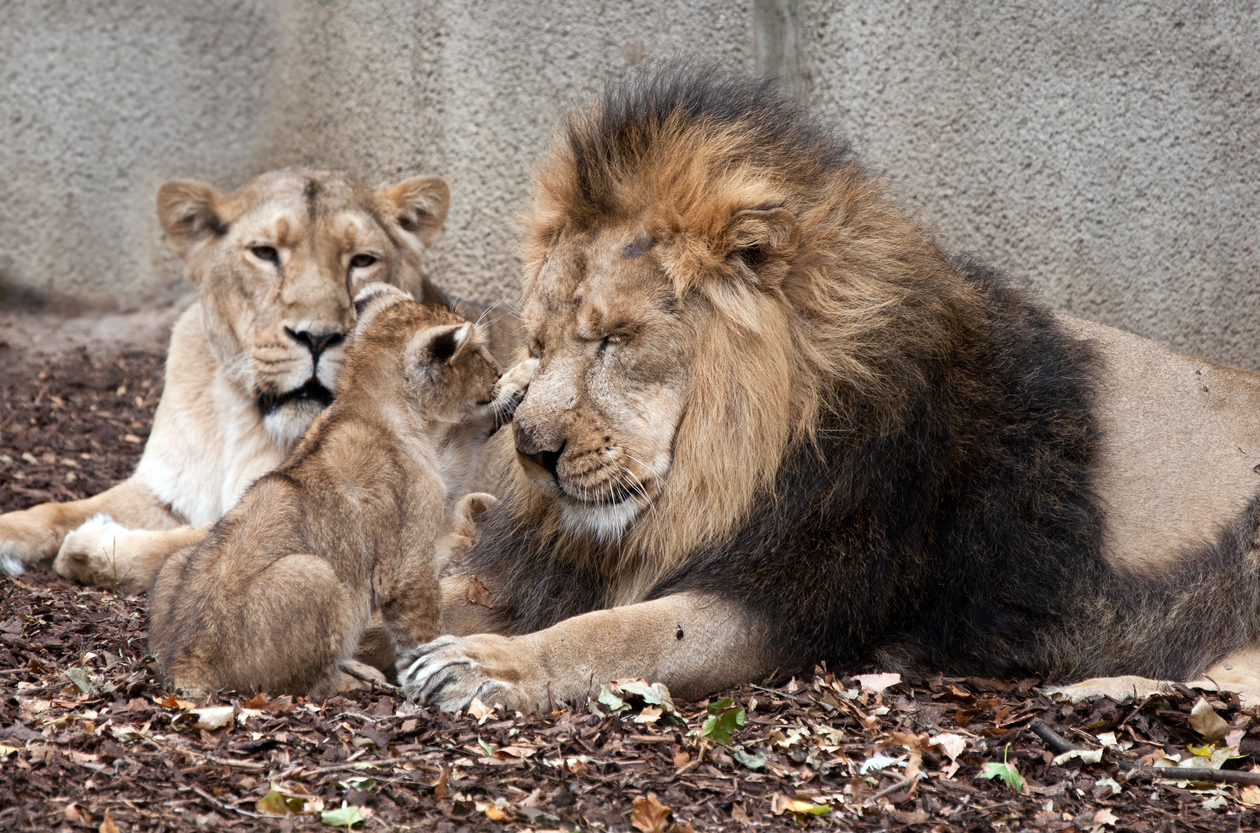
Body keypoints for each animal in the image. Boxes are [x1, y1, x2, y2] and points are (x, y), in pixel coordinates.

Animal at [0, 167, 453, 592]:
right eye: (265, 253)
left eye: (362, 260)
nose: (318, 337)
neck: (245, 418)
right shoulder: (165, 491)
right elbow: (58, 509)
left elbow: (188, 544)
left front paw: (91, 544)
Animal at [149, 282, 529, 700]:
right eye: (476, 353)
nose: (496, 371)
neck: (363, 403)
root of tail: (187, 667)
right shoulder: (408, 556)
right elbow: (420, 627)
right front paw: (429, 668)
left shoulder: (447, 464)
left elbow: (479, 425)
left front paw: (525, 376)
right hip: (315, 575)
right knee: (306, 684)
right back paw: (358, 677)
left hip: (175, 562)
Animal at [398, 68, 1260, 710]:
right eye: (538, 345)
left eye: (615, 340)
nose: (532, 451)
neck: (719, 471)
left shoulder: (799, 595)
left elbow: (620, 633)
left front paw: (484, 665)